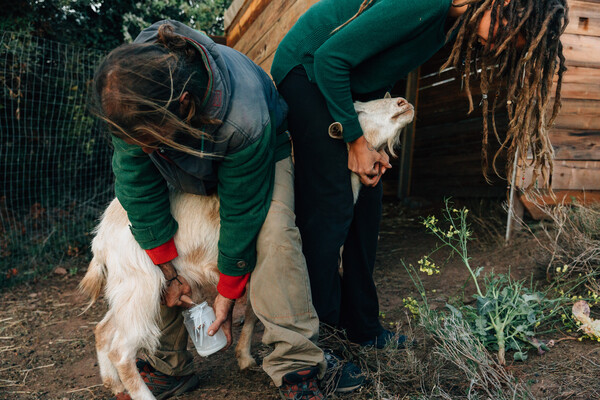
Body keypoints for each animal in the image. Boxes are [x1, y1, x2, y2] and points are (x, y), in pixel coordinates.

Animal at [79, 95, 414, 398]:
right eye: (356, 111)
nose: (403, 104)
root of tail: (101, 237)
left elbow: (253, 312)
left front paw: (244, 358)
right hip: (141, 284)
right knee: (122, 350)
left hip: (132, 286)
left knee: (103, 332)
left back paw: (114, 386)